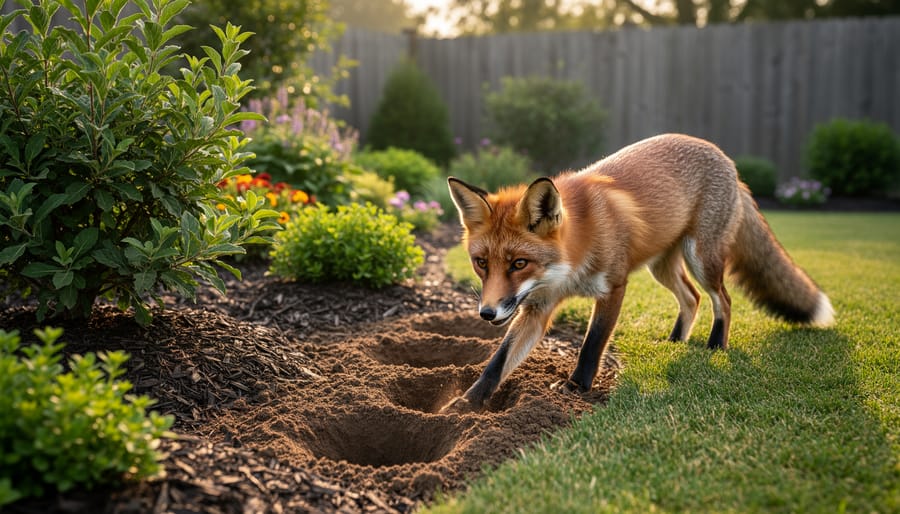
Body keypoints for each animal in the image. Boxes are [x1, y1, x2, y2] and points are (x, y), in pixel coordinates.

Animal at [442, 133, 834, 414]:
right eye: (481, 263)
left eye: (519, 263)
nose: (486, 313)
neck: (568, 268)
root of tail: (729, 162)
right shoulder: (536, 307)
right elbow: (497, 362)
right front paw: (465, 404)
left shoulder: (614, 287)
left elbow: (592, 344)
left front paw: (575, 388)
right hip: (662, 268)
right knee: (691, 298)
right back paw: (676, 341)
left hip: (701, 259)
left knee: (722, 299)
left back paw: (715, 345)